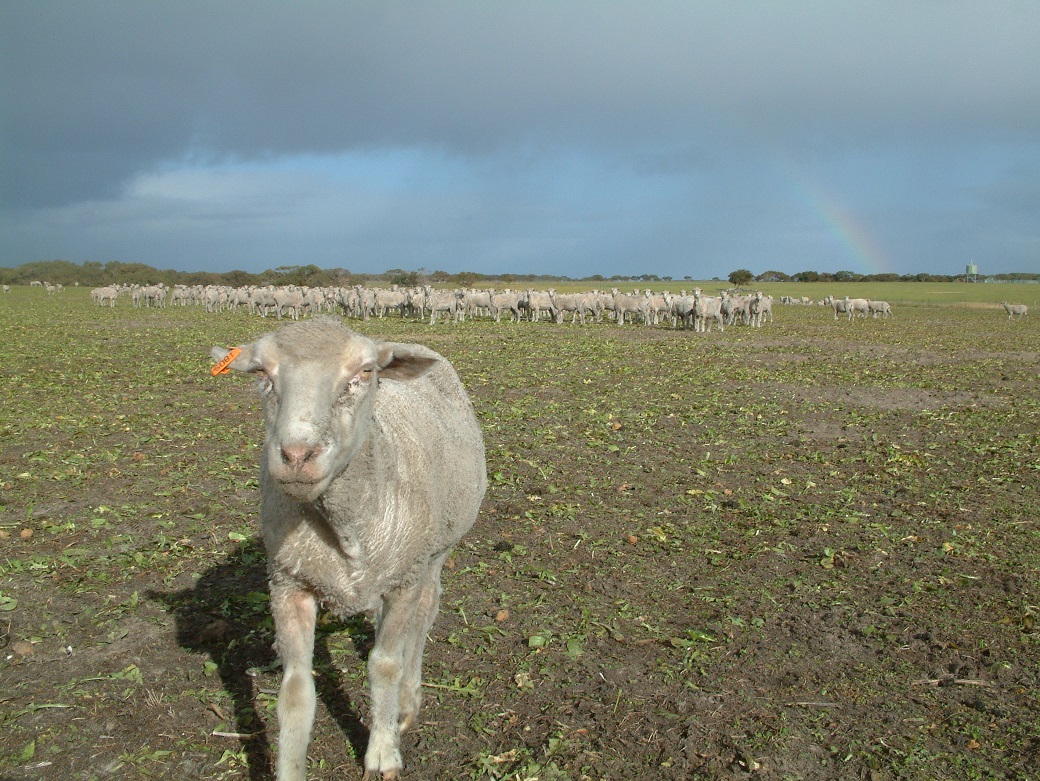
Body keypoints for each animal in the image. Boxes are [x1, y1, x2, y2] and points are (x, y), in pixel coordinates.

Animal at [213, 318, 488, 781]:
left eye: (364, 372)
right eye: (263, 374)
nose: (297, 454)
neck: (344, 526)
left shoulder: (405, 578)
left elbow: (385, 664)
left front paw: (382, 752)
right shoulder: (288, 584)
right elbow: (295, 693)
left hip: (433, 553)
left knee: (424, 614)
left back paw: (407, 700)